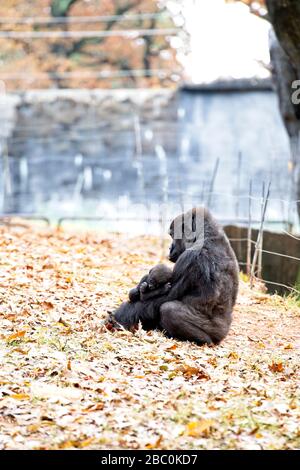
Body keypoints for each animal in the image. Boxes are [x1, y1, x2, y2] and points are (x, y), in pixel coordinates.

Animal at [110, 207, 239, 346]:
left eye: (172, 235)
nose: (170, 248)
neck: (207, 235)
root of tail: (224, 332)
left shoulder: (190, 258)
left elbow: (163, 298)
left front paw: (119, 316)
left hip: (216, 333)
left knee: (169, 310)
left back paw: (201, 340)